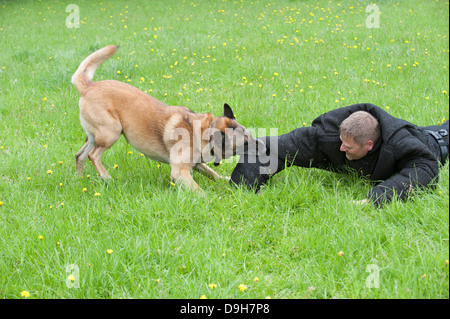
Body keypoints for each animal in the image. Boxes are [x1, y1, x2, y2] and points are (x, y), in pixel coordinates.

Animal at [71, 45, 264, 190]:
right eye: (245, 143)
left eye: (250, 135)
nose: (264, 147)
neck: (204, 132)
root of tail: (88, 86)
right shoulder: (180, 172)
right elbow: (199, 190)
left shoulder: (196, 164)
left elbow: (212, 174)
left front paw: (223, 179)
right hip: (111, 132)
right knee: (93, 156)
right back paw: (107, 178)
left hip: (94, 136)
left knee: (80, 155)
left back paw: (78, 180)